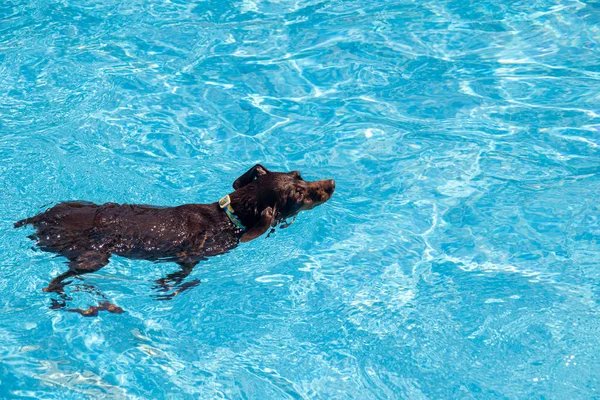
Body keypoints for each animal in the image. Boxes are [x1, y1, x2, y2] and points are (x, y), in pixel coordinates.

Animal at [15, 164, 332, 314]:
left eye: (299, 174)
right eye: (299, 196)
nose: (331, 184)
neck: (229, 216)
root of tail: (39, 220)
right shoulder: (191, 257)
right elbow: (183, 276)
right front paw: (167, 286)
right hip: (95, 257)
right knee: (61, 278)